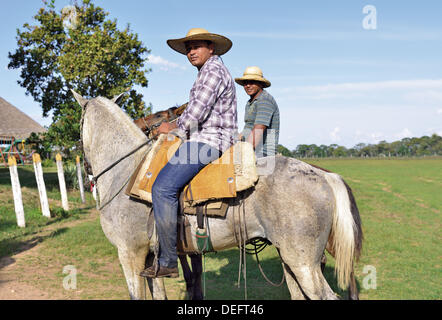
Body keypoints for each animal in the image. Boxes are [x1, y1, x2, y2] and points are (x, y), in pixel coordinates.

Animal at [75, 92, 362, 300]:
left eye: (158, 115)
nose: (86, 167)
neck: (127, 171)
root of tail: (324, 175)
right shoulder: (149, 259)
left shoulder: (130, 254)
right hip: (291, 259)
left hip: (303, 263)